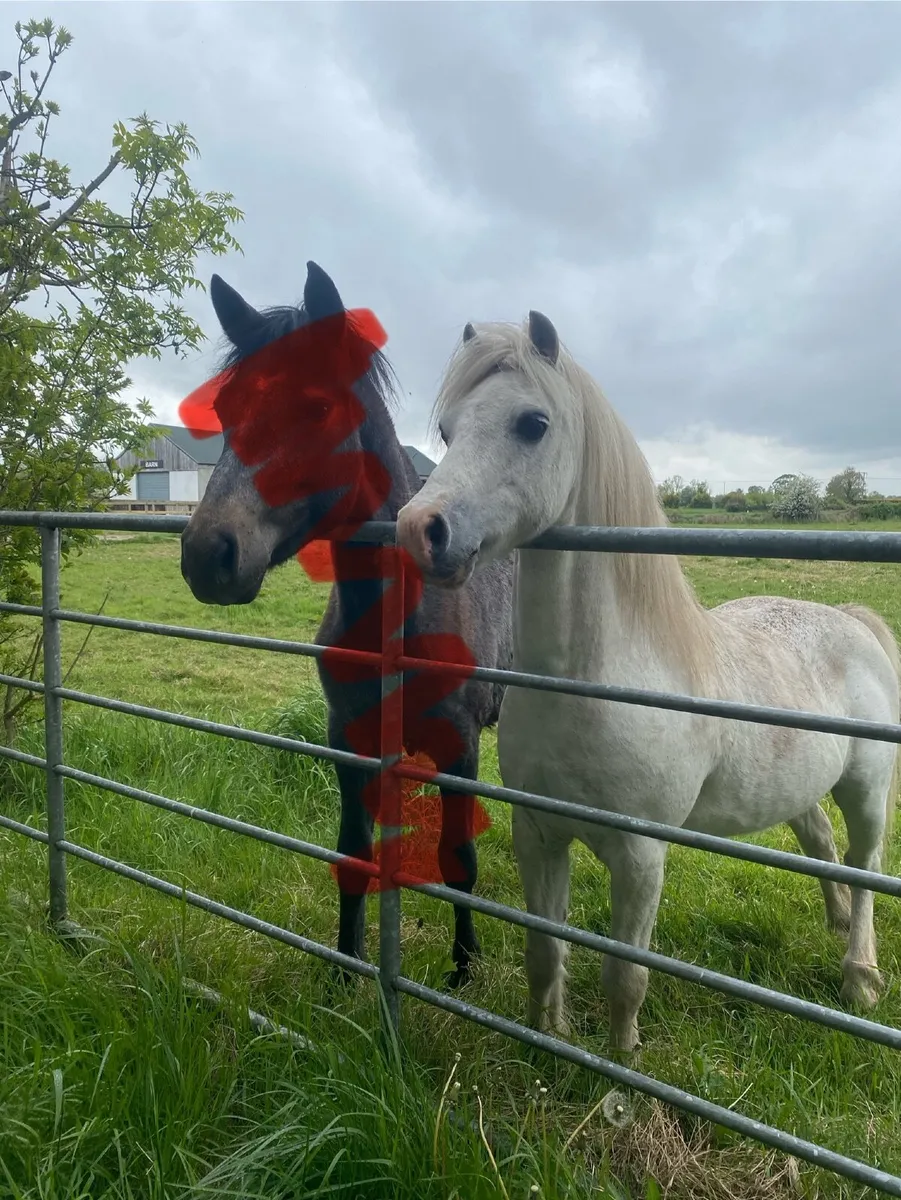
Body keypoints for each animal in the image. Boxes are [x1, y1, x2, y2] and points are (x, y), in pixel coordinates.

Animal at [180, 261, 513, 986]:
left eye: (318, 406)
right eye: (225, 409)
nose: (208, 554)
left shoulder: (460, 746)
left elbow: (460, 862)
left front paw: (463, 970)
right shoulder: (351, 742)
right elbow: (354, 853)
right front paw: (345, 968)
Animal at [395, 310, 900, 1052]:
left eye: (532, 423)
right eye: (448, 430)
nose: (418, 529)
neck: (591, 685)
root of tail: (852, 622)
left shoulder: (638, 858)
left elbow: (624, 976)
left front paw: (620, 1064)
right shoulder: (537, 834)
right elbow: (544, 950)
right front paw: (549, 1038)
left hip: (864, 788)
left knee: (864, 868)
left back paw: (859, 974)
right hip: (800, 784)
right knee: (819, 841)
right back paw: (834, 924)